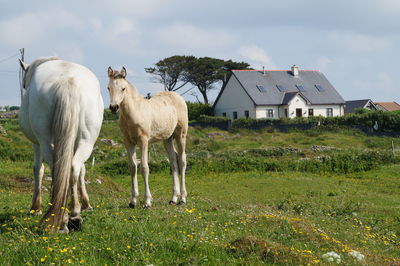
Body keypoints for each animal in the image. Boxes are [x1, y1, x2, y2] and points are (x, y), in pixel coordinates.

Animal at [19, 56, 104, 233]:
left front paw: (35, 208)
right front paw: (86, 204)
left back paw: (62, 216)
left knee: (56, 168)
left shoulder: (36, 144)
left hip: (45, 141)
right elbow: (81, 171)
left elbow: (38, 169)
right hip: (86, 141)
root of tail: (68, 81)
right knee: (73, 168)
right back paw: (74, 215)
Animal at [106, 66, 188, 208]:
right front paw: (133, 201)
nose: (113, 107)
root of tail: (179, 97)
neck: (133, 112)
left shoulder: (143, 141)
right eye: (108, 88)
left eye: (123, 88)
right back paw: (173, 198)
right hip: (167, 139)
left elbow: (144, 167)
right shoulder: (128, 142)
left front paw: (147, 201)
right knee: (173, 161)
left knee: (182, 161)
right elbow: (132, 167)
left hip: (180, 135)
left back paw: (182, 198)